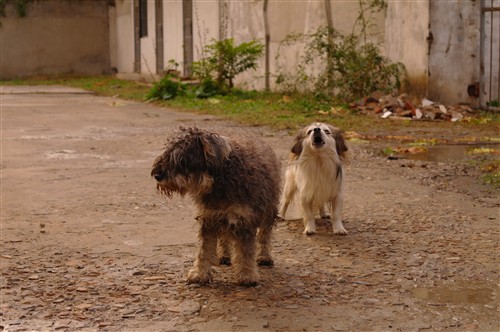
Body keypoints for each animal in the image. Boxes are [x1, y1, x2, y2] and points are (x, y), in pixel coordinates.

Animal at [150, 126, 280, 286]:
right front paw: (199, 274)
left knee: (264, 235)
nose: (157, 175)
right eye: (167, 152)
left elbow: (245, 250)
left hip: (269, 211)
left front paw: (247, 275)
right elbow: (204, 251)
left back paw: (264, 256)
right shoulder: (209, 218)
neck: (217, 181)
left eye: (182, 158)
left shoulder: (243, 220)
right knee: (224, 237)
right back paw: (224, 255)